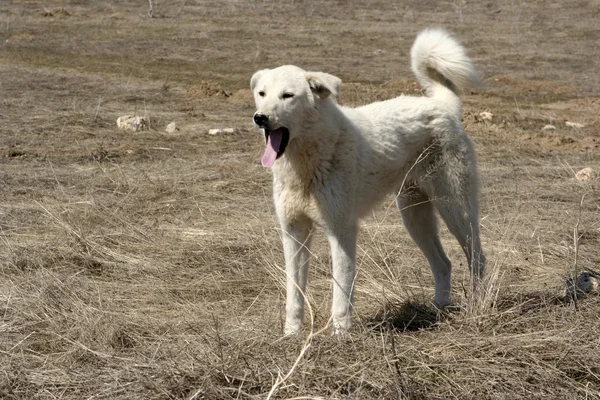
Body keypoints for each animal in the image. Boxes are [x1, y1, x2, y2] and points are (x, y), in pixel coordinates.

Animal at [251, 28, 486, 334]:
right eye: (262, 93)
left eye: (287, 96)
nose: (260, 118)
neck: (307, 162)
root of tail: (441, 105)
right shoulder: (293, 232)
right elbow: (295, 294)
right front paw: (291, 335)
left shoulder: (342, 230)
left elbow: (341, 289)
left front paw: (340, 335)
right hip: (415, 218)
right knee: (444, 263)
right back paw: (439, 310)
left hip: (456, 211)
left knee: (477, 260)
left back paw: (478, 308)